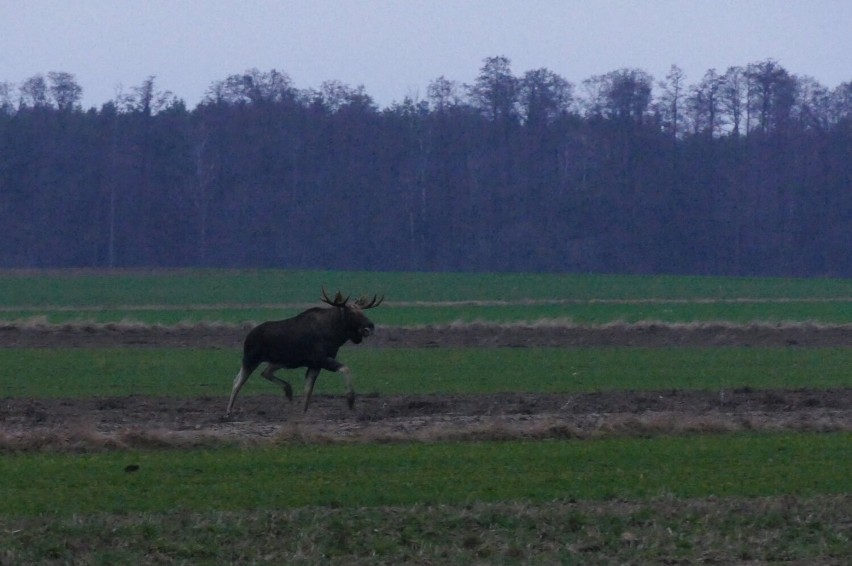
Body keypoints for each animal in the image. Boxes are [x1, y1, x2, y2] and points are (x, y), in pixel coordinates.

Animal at [228, 290, 384, 420]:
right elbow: (345, 368)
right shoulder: (321, 359)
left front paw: (303, 413)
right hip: (251, 359)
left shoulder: (315, 364)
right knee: (237, 382)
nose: (370, 327)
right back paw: (229, 412)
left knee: (264, 372)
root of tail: (248, 336)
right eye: (352, 313)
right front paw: (350, 400)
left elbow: (308, 390)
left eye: (362, 311)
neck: (335, 335)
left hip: (279, 361)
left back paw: (288, 390)